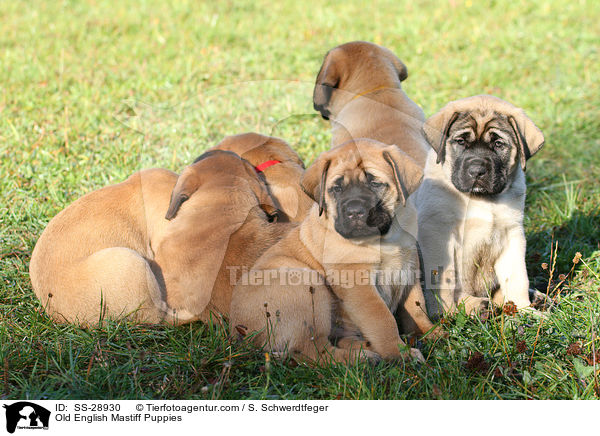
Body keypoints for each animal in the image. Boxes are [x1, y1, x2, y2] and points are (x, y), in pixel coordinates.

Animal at [229, 140, 440, 364]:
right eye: (337, 189)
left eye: (374, 184)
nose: (354, 212)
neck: (386, 237)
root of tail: (238, 332)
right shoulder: (359, 283)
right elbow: (382, 320)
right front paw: (401, 353)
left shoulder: (409, 268)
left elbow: (416, 308)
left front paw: (432, 333)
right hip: (306, 286)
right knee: (312, 351)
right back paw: (362, 358)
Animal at [414, 93, 548, 316]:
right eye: (461, 141)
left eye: (498, 144)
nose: (477, 171)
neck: (483, 200)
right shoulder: (438, 233)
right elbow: (443, 280)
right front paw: (444, 314)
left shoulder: (512, 235)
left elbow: (518, 278)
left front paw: (525, 310)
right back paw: (477, 306)